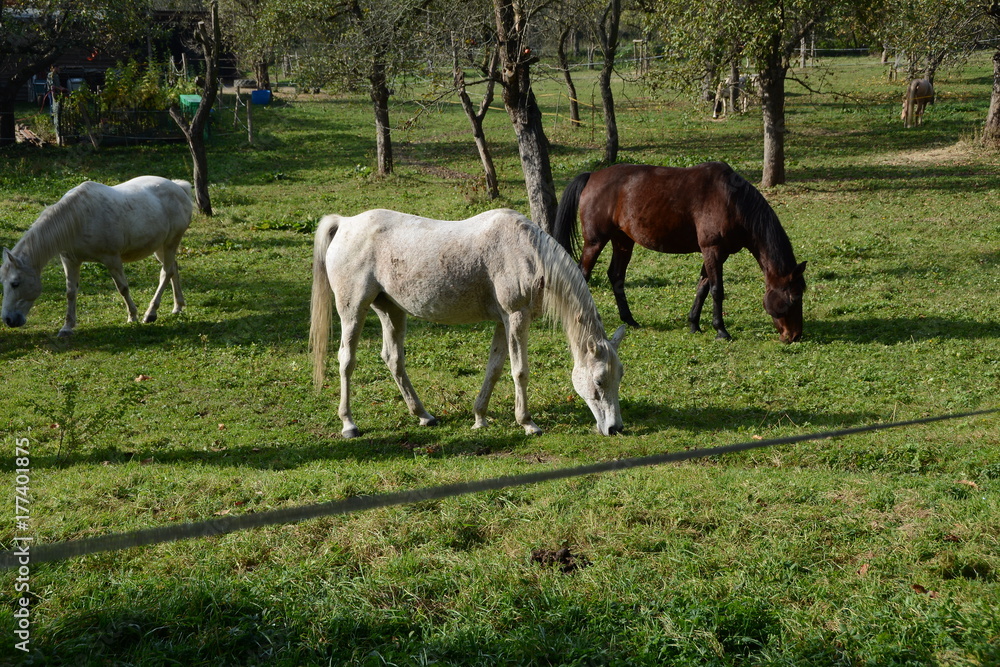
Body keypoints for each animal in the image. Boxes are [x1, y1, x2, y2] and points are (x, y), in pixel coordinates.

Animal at [1, 176, 193, 337]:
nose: (8, 320)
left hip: (170, 243)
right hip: (160, 247)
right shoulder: (70, 261)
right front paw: (67, 327)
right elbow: (71, 292)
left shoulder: (112, 259)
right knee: (173, 268)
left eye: (15, 283)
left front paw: (132, 316)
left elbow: (123, 288)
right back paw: (178, 306)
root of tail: (178, 187)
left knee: (166, 273)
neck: (79, 218)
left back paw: (151, 313)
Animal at [309, 208, 627, 438]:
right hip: (353, 310)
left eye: (619, 375)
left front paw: (479, 417)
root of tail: (345, 223)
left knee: (393, 359)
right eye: (599, 380)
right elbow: (520, 371)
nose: (615, 428)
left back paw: (423, 415)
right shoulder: (516, 317)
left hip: (391, 310)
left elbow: (495, 369)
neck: (528, 252)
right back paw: (349, 424)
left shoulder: (504, 322)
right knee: (347, 360)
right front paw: (527, 423)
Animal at [552, 162, 806, 343]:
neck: (732, 201)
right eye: (795, 297)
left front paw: (694, 324)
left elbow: (703, 287)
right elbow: (717, 290)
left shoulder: (716, 253)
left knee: (616, 276)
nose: (794, 336)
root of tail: (592, 176)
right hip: (595, 242)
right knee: (582, 274)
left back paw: (629, 319)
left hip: (623, 240)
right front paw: (721, 330)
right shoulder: (712, 250)